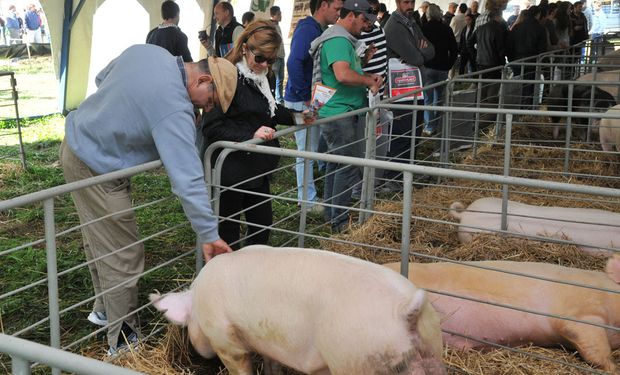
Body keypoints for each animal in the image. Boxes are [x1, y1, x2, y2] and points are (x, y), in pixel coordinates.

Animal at [150, 247, 446, 375]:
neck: (198, 302)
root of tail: (405, 310)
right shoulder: (270, 342)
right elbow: (272, 364)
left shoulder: (227, 342)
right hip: (431, 350)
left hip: (358, 359)